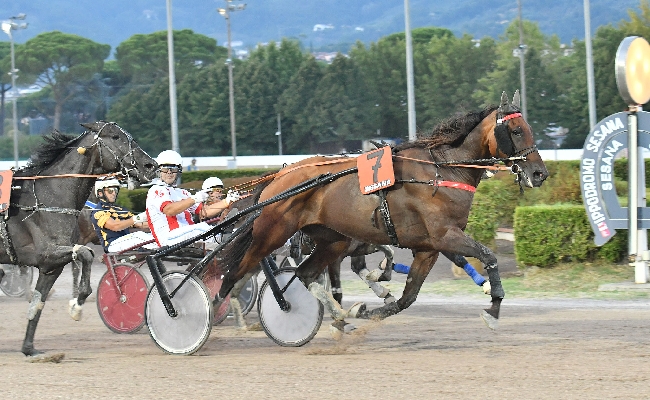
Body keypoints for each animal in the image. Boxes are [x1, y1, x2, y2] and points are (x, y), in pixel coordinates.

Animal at [0, 120, 156, 354]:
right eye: (115, 136)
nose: (150, 165)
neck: (46, 199)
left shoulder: (50, 266)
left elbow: (38, 302)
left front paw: (29, 348)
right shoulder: (45, 253)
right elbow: (86, 253)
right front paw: (77, 305)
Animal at [219, 91, 548, 332]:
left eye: (529, 129)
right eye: (516, 130)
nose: (540, 174)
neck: (442, 170)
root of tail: (279, 176)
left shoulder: (428, 247)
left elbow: (408, 296)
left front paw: (367, 311)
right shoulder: (445, 235)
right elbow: (489, 256)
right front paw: (493, 307)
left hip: (333, 239)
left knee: (305, 273)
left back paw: (340, 318)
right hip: (271, 232)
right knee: (235, 273)